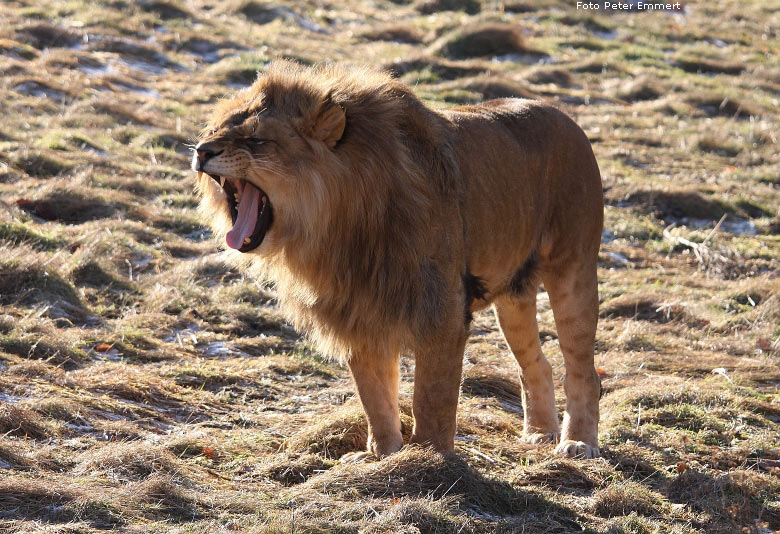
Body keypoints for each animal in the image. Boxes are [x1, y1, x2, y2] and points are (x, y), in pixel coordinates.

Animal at [192, 60, 608, 462]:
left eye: (255, 140)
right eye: (213, 129)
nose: (200, 151)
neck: (336, 227)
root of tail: (568, 118)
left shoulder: (441, 309)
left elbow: (431, 397)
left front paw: (428, 456)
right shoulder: (357, 311)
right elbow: (375, 396)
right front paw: (381, 455)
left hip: (573, 273)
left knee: (582, 370)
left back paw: (577, 443)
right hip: (513, 297)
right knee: (536, 363)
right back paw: (539, 434)